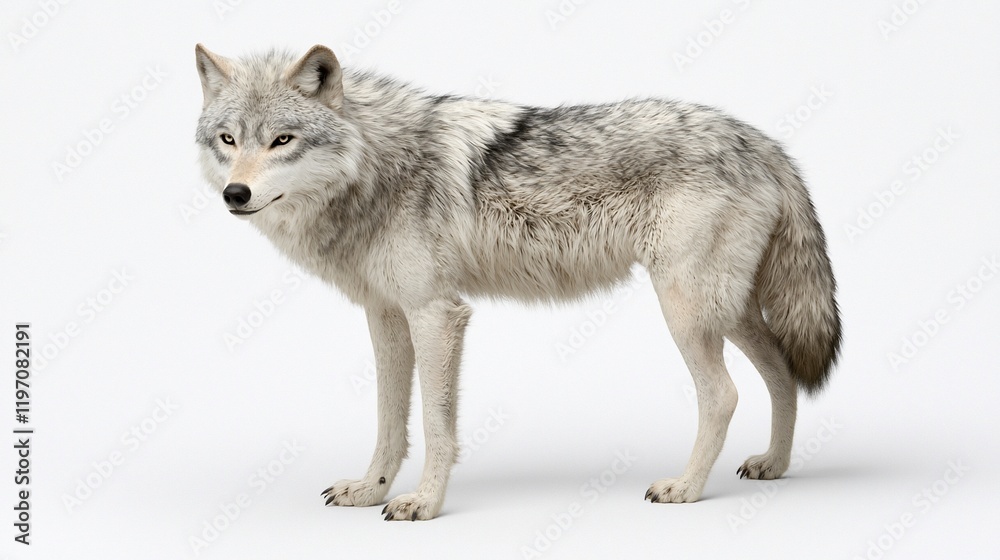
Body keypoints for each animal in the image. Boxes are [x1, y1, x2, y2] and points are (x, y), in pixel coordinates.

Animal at [194, 44, 841, 521]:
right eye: (229, 139)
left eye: (282, 141)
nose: (236, 193)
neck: (376, 167)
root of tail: (766, 143)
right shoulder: (386, 315)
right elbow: (389, 420)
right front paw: (370, 490)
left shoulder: (436, 313)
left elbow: (435, 423)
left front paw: (424, 503)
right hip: (728, 312)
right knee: (782, 373)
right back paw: (774, 465)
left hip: (686, 311)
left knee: (724, 395)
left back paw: (685, 489)